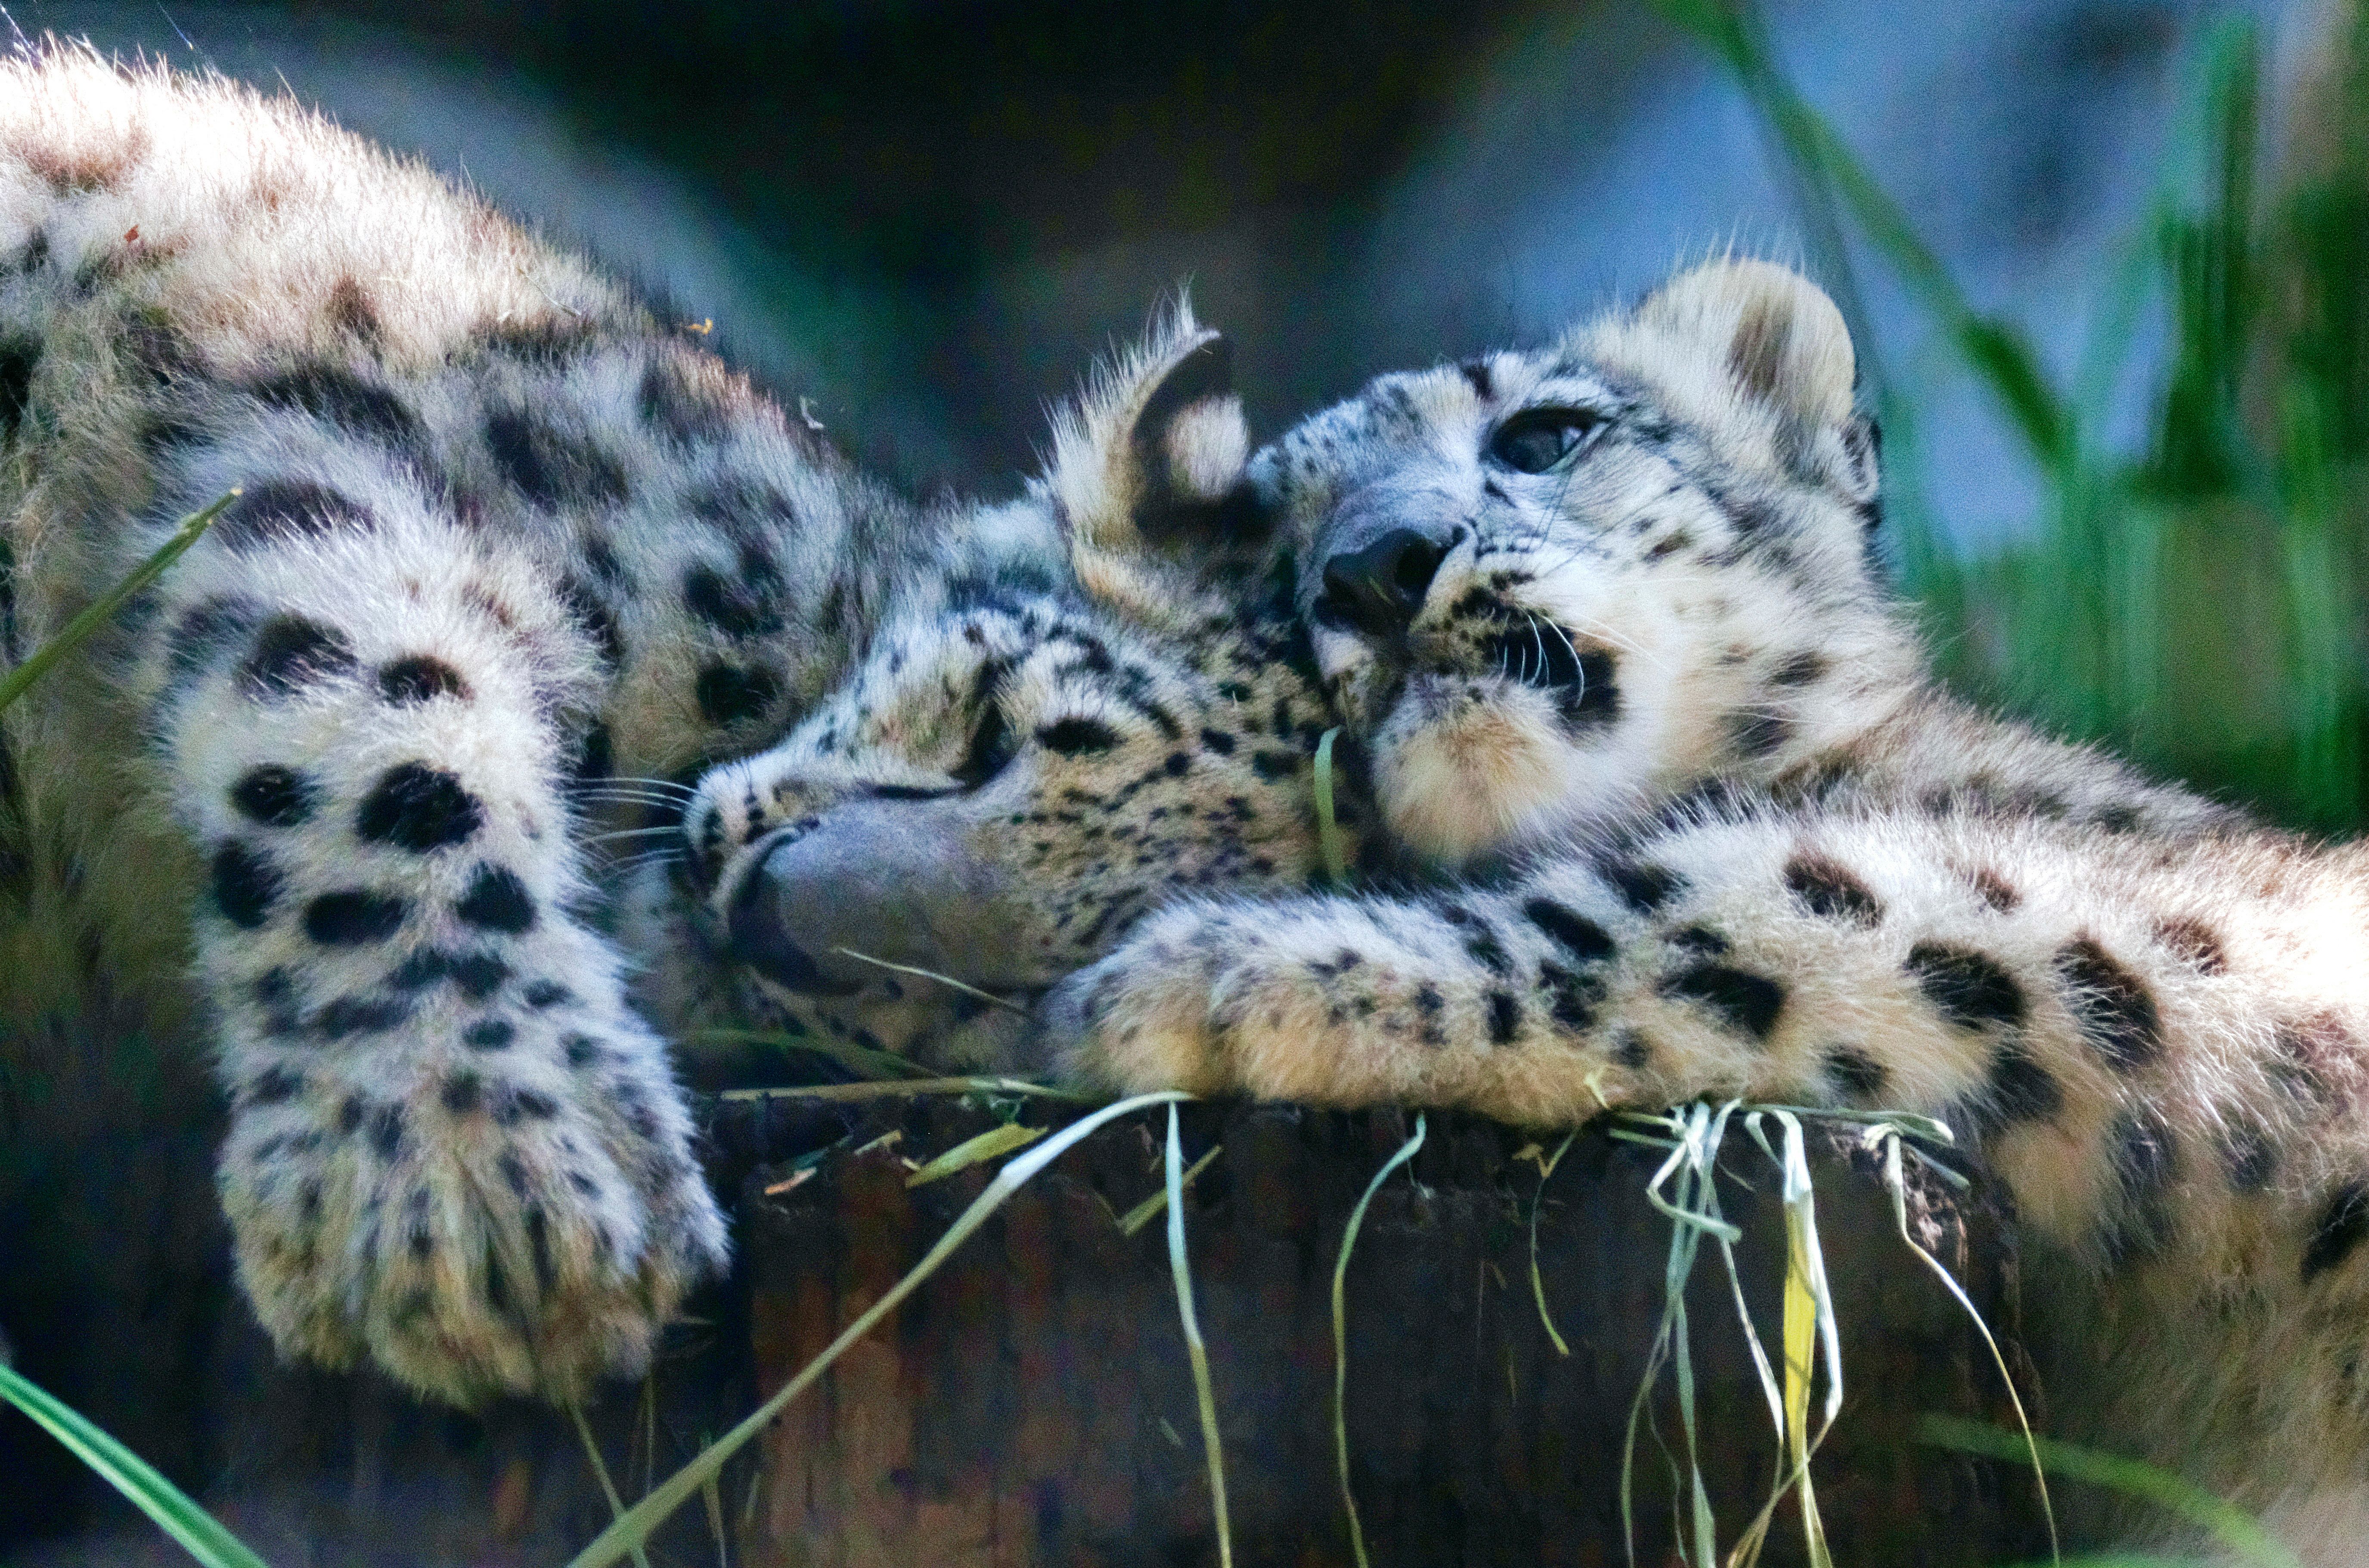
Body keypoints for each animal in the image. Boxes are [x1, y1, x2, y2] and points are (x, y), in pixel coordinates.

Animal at [0, 45, 1351, 1411]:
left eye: (1030, 982)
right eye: (989, 729)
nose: (772, 913)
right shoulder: (295, 407)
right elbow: (389, 712)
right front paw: (485, 1184)